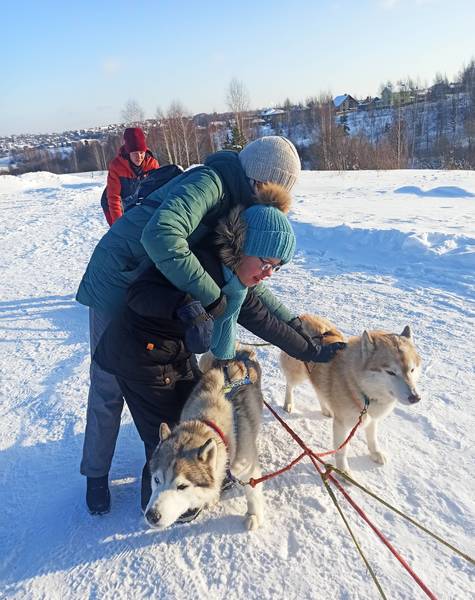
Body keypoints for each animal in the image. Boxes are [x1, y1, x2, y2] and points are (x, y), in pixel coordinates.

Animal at [143, 350, 266, 532]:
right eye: (156, 480)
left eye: (182, 486)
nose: (152, 516)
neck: (208, 421)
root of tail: (240, 352)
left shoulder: (249, 469)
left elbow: (252, 492)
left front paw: (254, 515)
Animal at [280, 316, 422, 476]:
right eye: (391, 372)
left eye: (412, 370)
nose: (415, 397)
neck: (363, 392)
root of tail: (303, 316)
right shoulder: (342, 425)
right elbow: (342, 451)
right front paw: (342, 471)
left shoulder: (371, 419)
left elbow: (372, 439)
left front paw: (375, 453)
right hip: (297, 374)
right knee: (290, 385)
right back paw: (288, 404)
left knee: (320, 391)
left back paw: (326, 409)